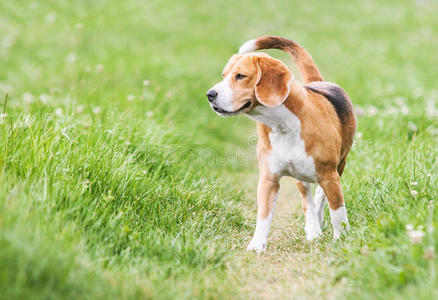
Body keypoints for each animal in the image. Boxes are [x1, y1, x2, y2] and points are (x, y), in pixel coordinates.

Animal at [206, 36, 356, 252]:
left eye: (241, 76)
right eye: (224, 75)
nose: (210, 95)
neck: (281, 124)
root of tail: (318, 82)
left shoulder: (329, 175)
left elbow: (337, 212)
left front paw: (341, 239)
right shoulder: (269, 179)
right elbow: (263, 216)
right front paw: (256, 245)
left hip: (338, 165)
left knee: (320, 195)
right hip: (301, 176)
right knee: (307, 199)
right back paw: (313, 229)